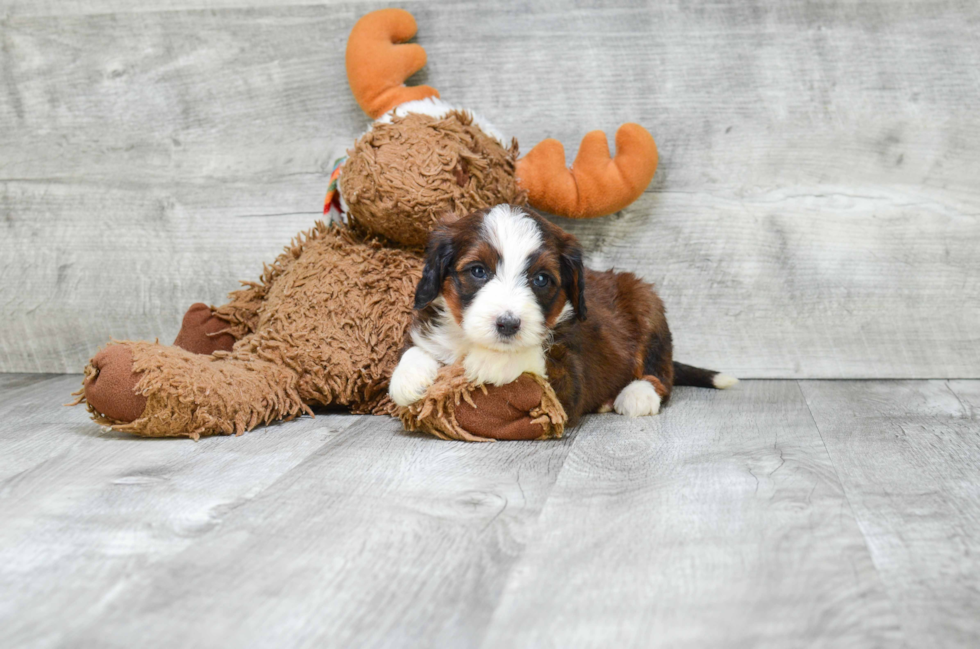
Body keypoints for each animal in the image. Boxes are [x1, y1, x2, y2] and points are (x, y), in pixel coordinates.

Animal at [390, 202, 736, 426]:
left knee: (662, 375)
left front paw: (490, 361)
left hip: (647, 305)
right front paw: (408, 378)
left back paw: (638, 395)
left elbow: (533, 357)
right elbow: (417, 349)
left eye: (541, 279)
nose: (508, 325)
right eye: (478, 271)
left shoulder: (570, 376)